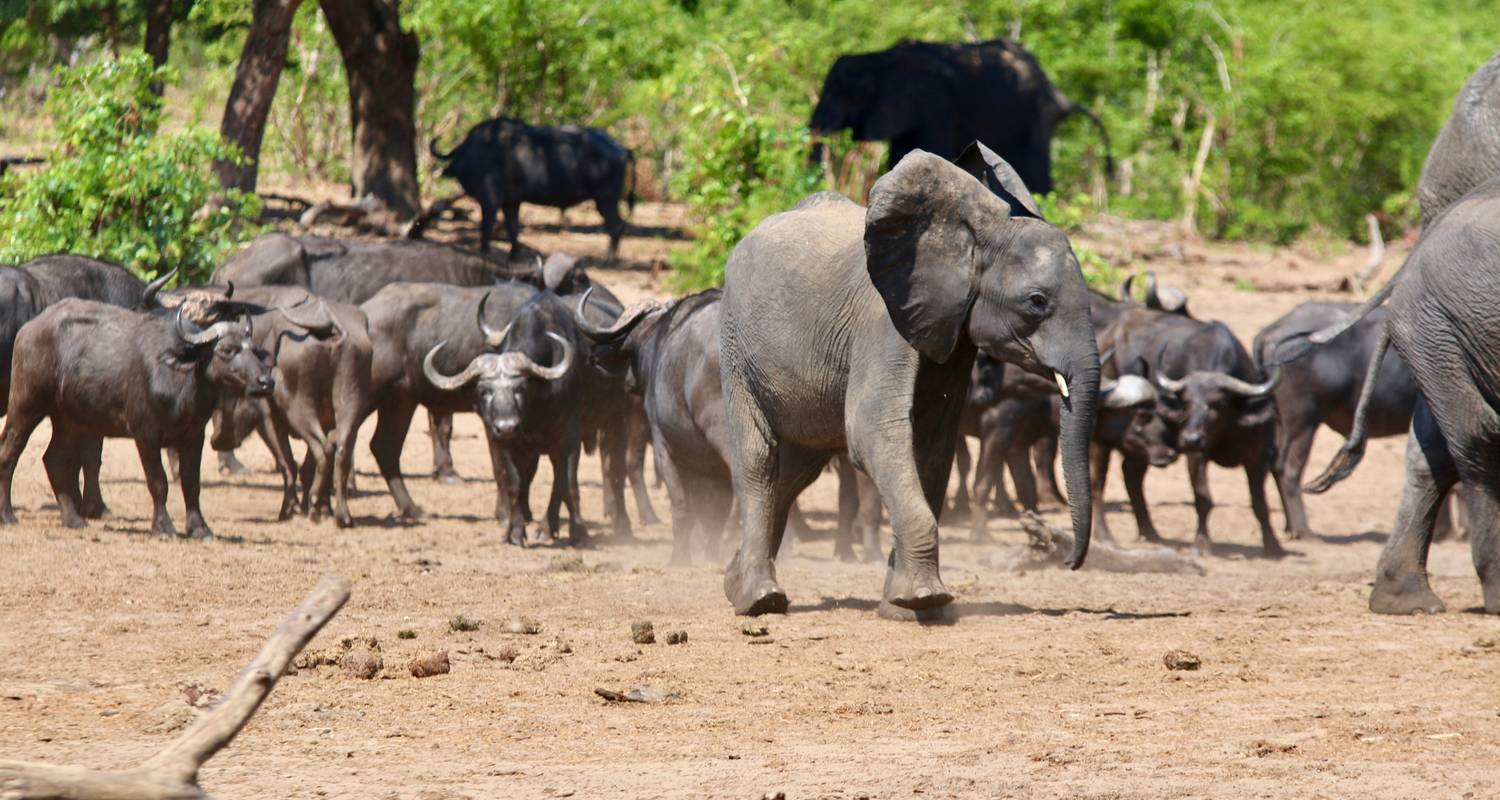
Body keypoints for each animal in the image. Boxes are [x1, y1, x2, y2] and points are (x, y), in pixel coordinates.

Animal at [720, 141, 1098, 618]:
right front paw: (925, 599)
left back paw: (733, 583)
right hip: (736, 347)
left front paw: (907, 608)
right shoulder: (883, 323)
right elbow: (874, 432)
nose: (1069, 562)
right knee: (760, 461)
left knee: (795, 472)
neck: (970, 237)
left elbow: (932, 446)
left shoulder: (952, 335)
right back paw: (760, 601)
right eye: (1036, 301)